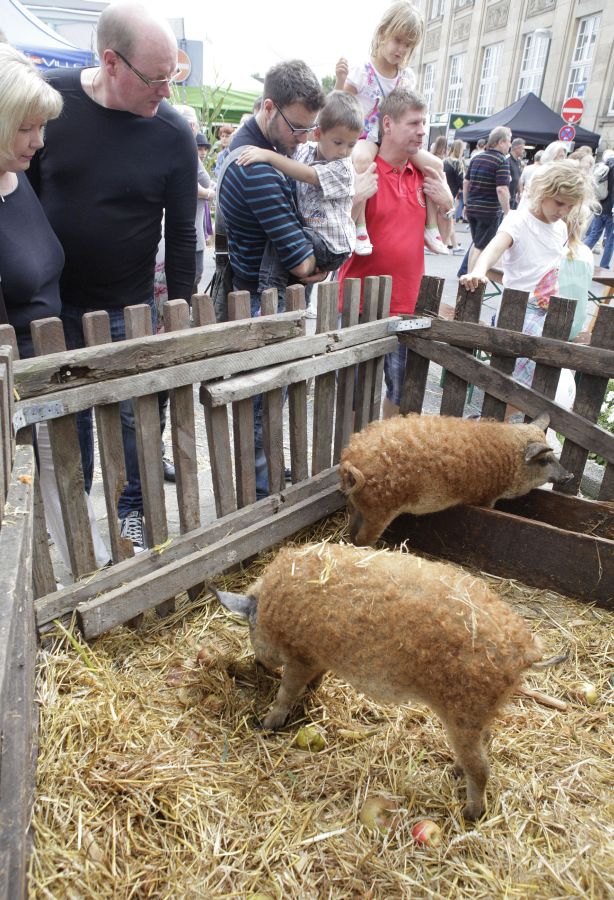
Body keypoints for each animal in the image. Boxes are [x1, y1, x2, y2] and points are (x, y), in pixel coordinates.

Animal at [213, 541, 543, 820]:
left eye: (250, 629)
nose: (258, 663)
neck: (270, 609)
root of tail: (524, 650)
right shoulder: (317, 657)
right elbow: (314, 680)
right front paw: (311, 692)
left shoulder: (300, 655)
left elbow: (286, 693)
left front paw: (266, 724)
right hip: (480, 713)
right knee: (487, 741)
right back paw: (454, 772)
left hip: (463, 712)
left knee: (482, 767)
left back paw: (470, 813)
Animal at [339, 412, 572, 546]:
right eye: (545, 460)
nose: (569, 475)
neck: (510, 459)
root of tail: (352, 459)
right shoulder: (487, 497)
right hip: (380, 511)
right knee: (362, 540)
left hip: (356, 504)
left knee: (352, 532)